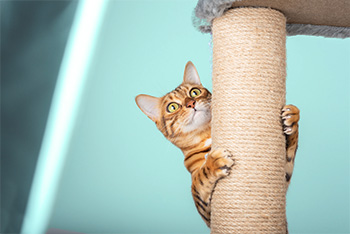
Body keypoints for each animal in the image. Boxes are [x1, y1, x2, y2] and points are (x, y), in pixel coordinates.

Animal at [135, 61, 300, 228]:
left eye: (194, 92)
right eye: (172, 107)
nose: (191, 103)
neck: (207, 135)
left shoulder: (283, 181)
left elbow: (290, 154)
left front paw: (292, 118)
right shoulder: (207, 212)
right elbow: (200, 178)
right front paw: (214, 162)